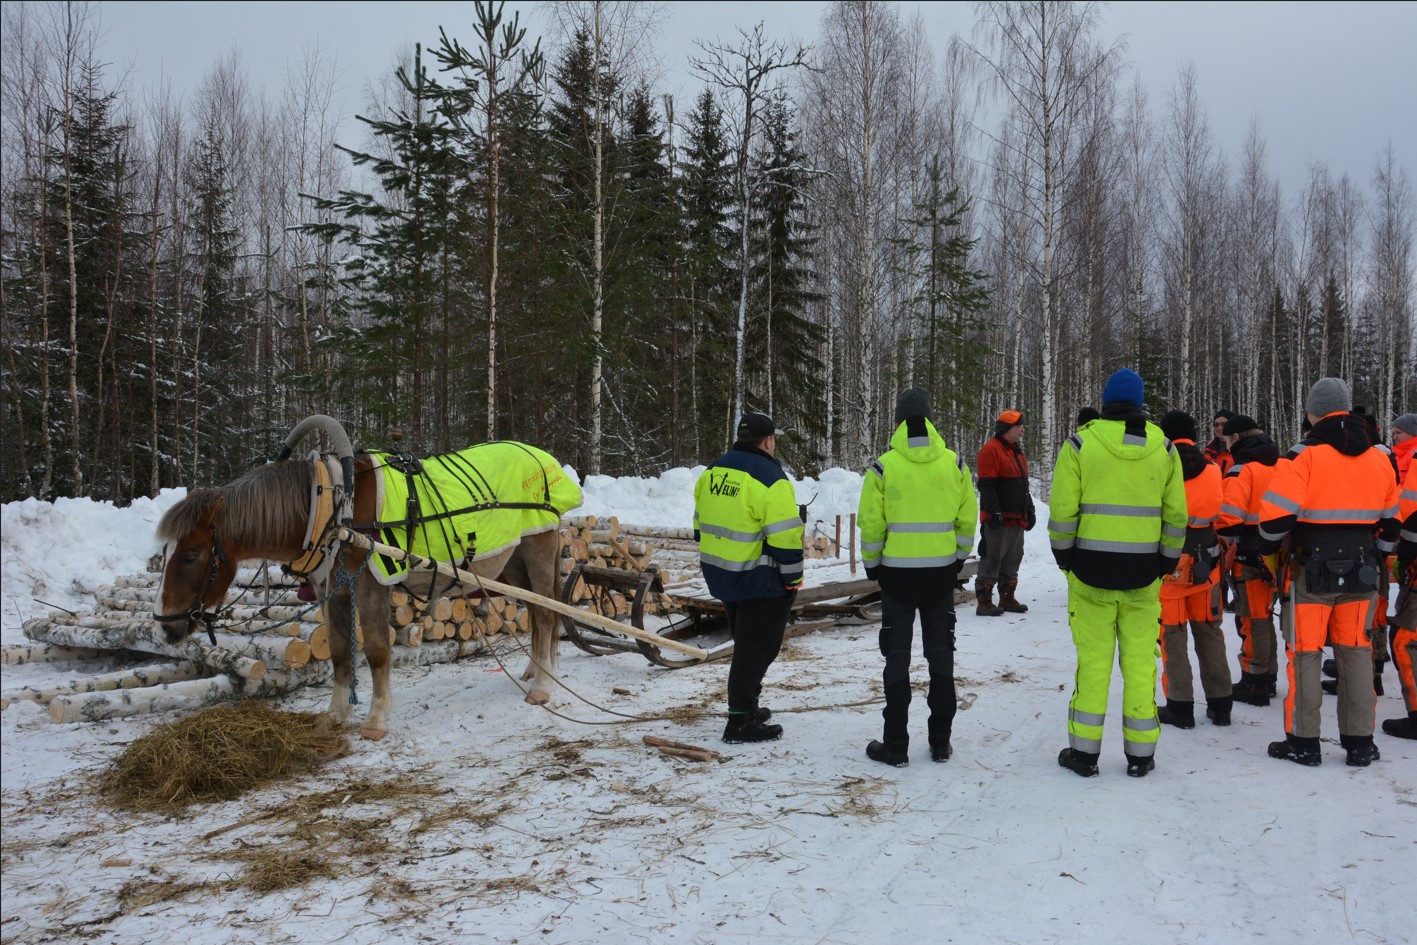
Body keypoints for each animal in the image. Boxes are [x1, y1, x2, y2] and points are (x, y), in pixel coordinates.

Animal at [157, 453, 566, 736]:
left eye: (190, 556)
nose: (164, 627)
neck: (334, 514)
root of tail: (543, 460)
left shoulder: (372, 586)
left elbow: (377, 651)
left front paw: (376, 718)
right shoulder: (335, 592)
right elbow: (339, 653)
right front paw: (336, 715)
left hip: (537, 550)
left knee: (547, 614)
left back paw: (543, 686)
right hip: (510, 564)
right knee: (535, 611)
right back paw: (535, 669)